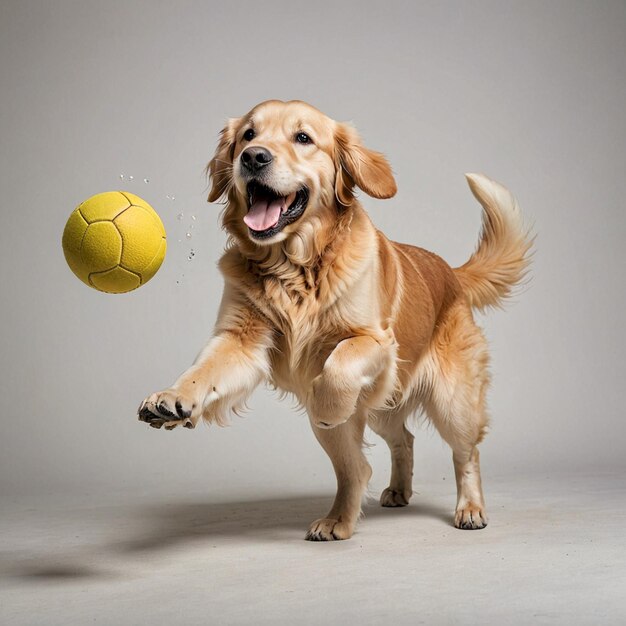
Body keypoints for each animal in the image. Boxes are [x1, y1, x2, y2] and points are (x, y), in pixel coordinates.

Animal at [135, 100, 528, 540]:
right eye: (248, 135)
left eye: (303, 138)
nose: (253, 158)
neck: (295, 265)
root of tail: (451, 272)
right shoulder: (240, 340)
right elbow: (202, 371)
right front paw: (172, 399)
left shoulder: (375, 342)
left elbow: (338, 366)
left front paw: (328, 399)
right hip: (382, 411)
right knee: (380, 454)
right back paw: (354, 511)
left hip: (451, 402)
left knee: (464, 452)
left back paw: (470, 508)